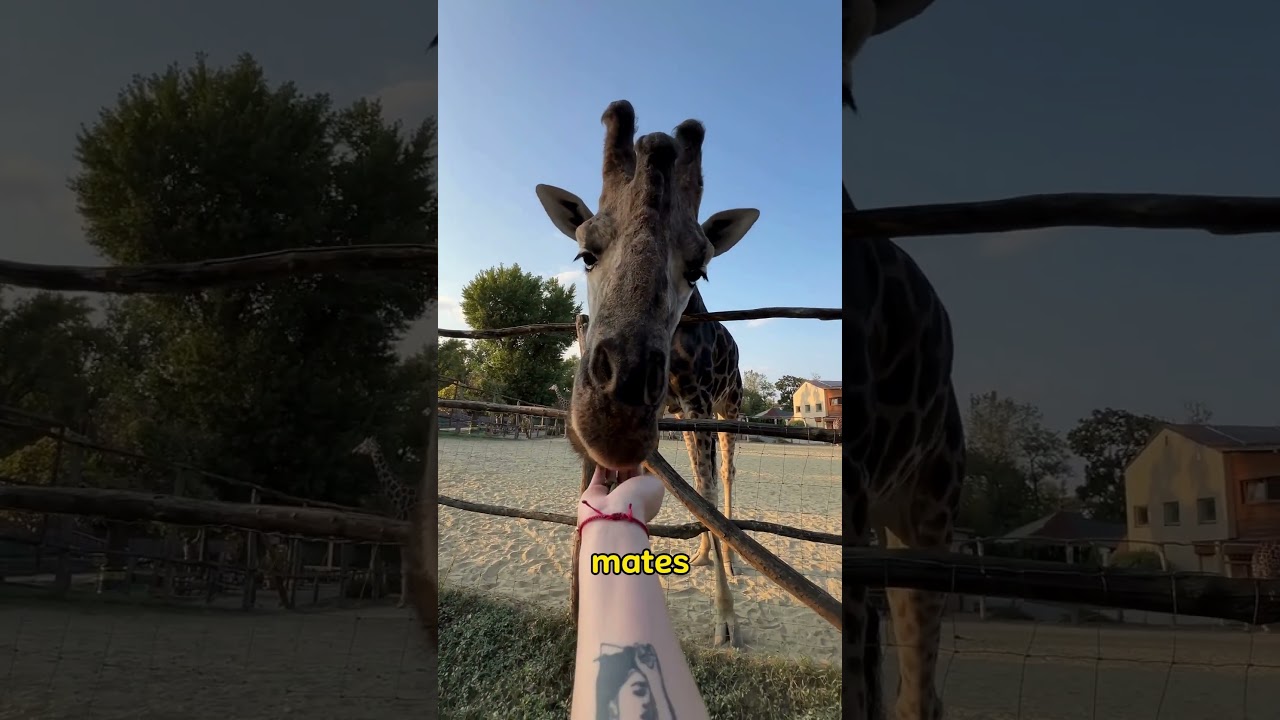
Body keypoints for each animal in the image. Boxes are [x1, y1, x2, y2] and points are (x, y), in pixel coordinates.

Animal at [534, 100, 760, 648]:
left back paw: (732, 562)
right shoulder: (675, 414)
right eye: (584, 254)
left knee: (724, 475)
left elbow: (706, 493)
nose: (610, 418)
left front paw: (726, 621)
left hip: (731, 408)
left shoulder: (699, 402)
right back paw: (701, 553)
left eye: (699, 269)